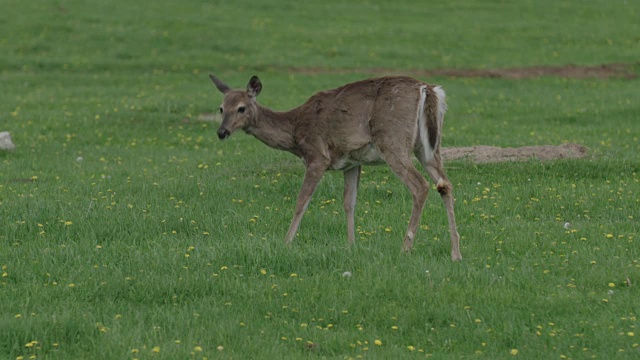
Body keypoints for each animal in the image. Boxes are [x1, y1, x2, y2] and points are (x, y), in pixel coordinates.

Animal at [212, 74, 462, 260]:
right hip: (428, 146)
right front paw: (352, 246)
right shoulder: (351, 163)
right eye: (221, 108)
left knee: (420, 186)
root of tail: (427, 89)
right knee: (445, 184)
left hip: (393, 140)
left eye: (241, 108)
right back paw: (455, 253)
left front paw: (286, 243)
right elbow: (349, 203)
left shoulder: (317, 156)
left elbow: (301, 202)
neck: (294, 130)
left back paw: (405, 248)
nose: (222, 132)